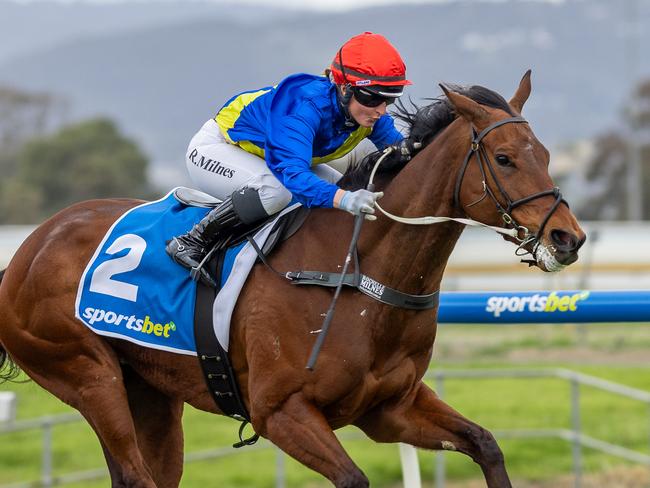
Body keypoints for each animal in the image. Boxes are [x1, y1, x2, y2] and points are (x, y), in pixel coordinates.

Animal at [0, 72, 584, 488]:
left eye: (546, 155)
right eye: (504, 159)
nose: (568, 238)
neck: (356, 274)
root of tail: (27, 249)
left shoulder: (390, 409)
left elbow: (486, 444)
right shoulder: (281, 411)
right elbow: (352, 478)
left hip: (151, 392)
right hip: (87, 375)